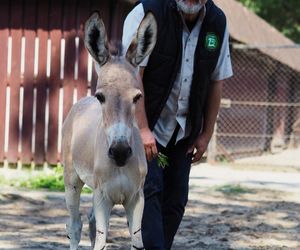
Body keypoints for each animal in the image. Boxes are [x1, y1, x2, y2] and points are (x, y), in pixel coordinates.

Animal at [62, 12, 158, 250]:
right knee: (74, 226)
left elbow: (137, 242)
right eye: (101, 97)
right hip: (71, 180)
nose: (121, 152)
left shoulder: (136, 199)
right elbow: (100, 242)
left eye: (137, 97)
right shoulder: (102, 197)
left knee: (89, 222)